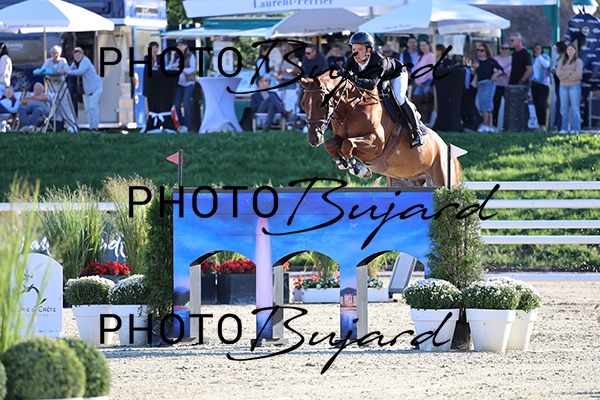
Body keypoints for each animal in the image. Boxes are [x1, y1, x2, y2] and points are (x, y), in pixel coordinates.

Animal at [299, 74, 461, 187]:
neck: (351, 109)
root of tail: (445, 147)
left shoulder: (376, 145)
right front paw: (341, 163)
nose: (313, 139)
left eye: (321, 103)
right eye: (302, 103)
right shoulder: (339, 137)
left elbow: (347, 144)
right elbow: (331, 144)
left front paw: (360, 170)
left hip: (441, 178)